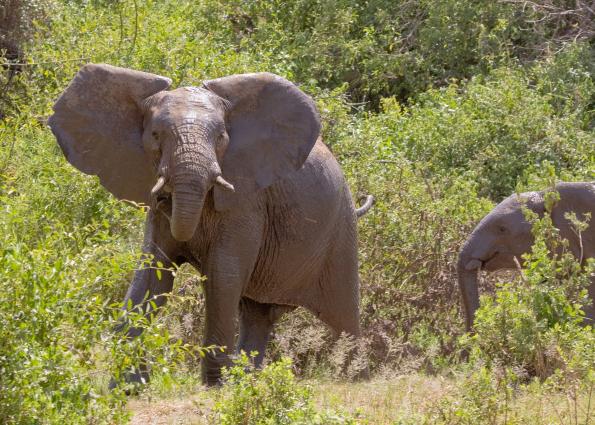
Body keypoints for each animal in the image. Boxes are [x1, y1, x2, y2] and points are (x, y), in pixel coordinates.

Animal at [47, 63, 372, 384]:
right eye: (155, 135)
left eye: (221, 138)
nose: (166, 201)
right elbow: (153, 274)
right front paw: (128, 384)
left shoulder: (246, 202)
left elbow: (221, 274)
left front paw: (213, 386)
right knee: (257, 314)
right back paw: (248, 380)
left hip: (341, 233)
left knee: (343, 317)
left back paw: (353, 375)